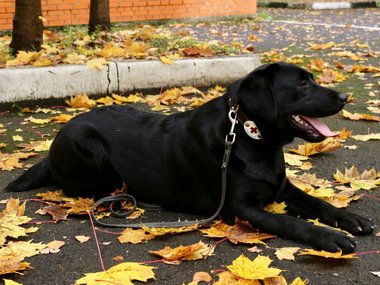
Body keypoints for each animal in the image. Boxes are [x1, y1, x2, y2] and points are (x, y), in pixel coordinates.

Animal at [5, 61, 374, 251]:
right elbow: (290, 222)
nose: (344, 96)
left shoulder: (282, 189)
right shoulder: (242, 208)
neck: (249, 136)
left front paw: (350, 219)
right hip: (90, 151)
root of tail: (56, 140)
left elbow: (318, 202)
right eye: (302, 84)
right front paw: (330, 237)